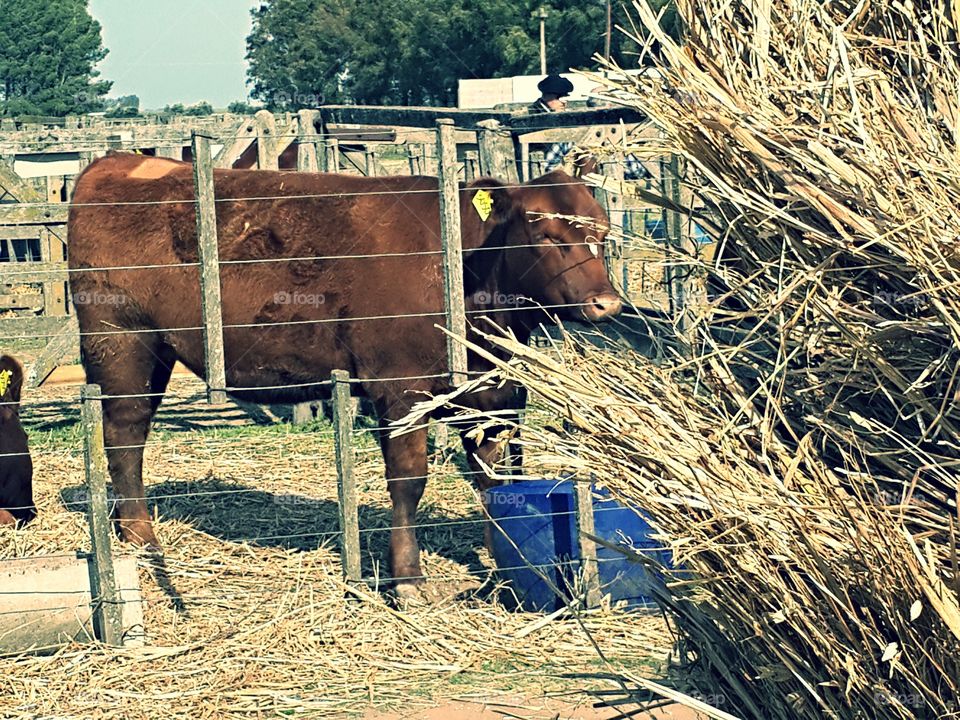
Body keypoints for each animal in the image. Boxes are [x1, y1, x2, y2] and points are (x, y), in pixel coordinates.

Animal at [67, 153, 622, 597]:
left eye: (601, 233)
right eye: (544, 233)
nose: (606, 303)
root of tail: (117, 163)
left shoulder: (492, 393)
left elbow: (494, 478)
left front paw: (507, 559)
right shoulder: (400, 391)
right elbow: (409, 482)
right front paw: (408, 579)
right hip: (122, 344)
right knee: (124, 435)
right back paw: (141, 537)